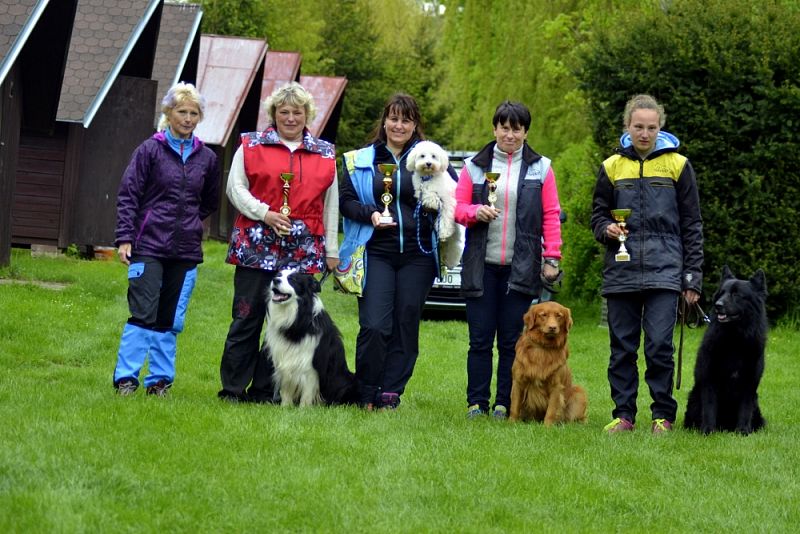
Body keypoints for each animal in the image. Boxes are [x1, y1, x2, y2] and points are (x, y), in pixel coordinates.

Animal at [684, 268, 764, 436]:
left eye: (736, 295)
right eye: (721, 293)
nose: (717, 305)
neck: (733, 340)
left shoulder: (749, 384)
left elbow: (745, 409)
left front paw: (743, 431)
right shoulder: (709, 380)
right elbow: (709, 408)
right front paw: (708, 431)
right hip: (694, 398)